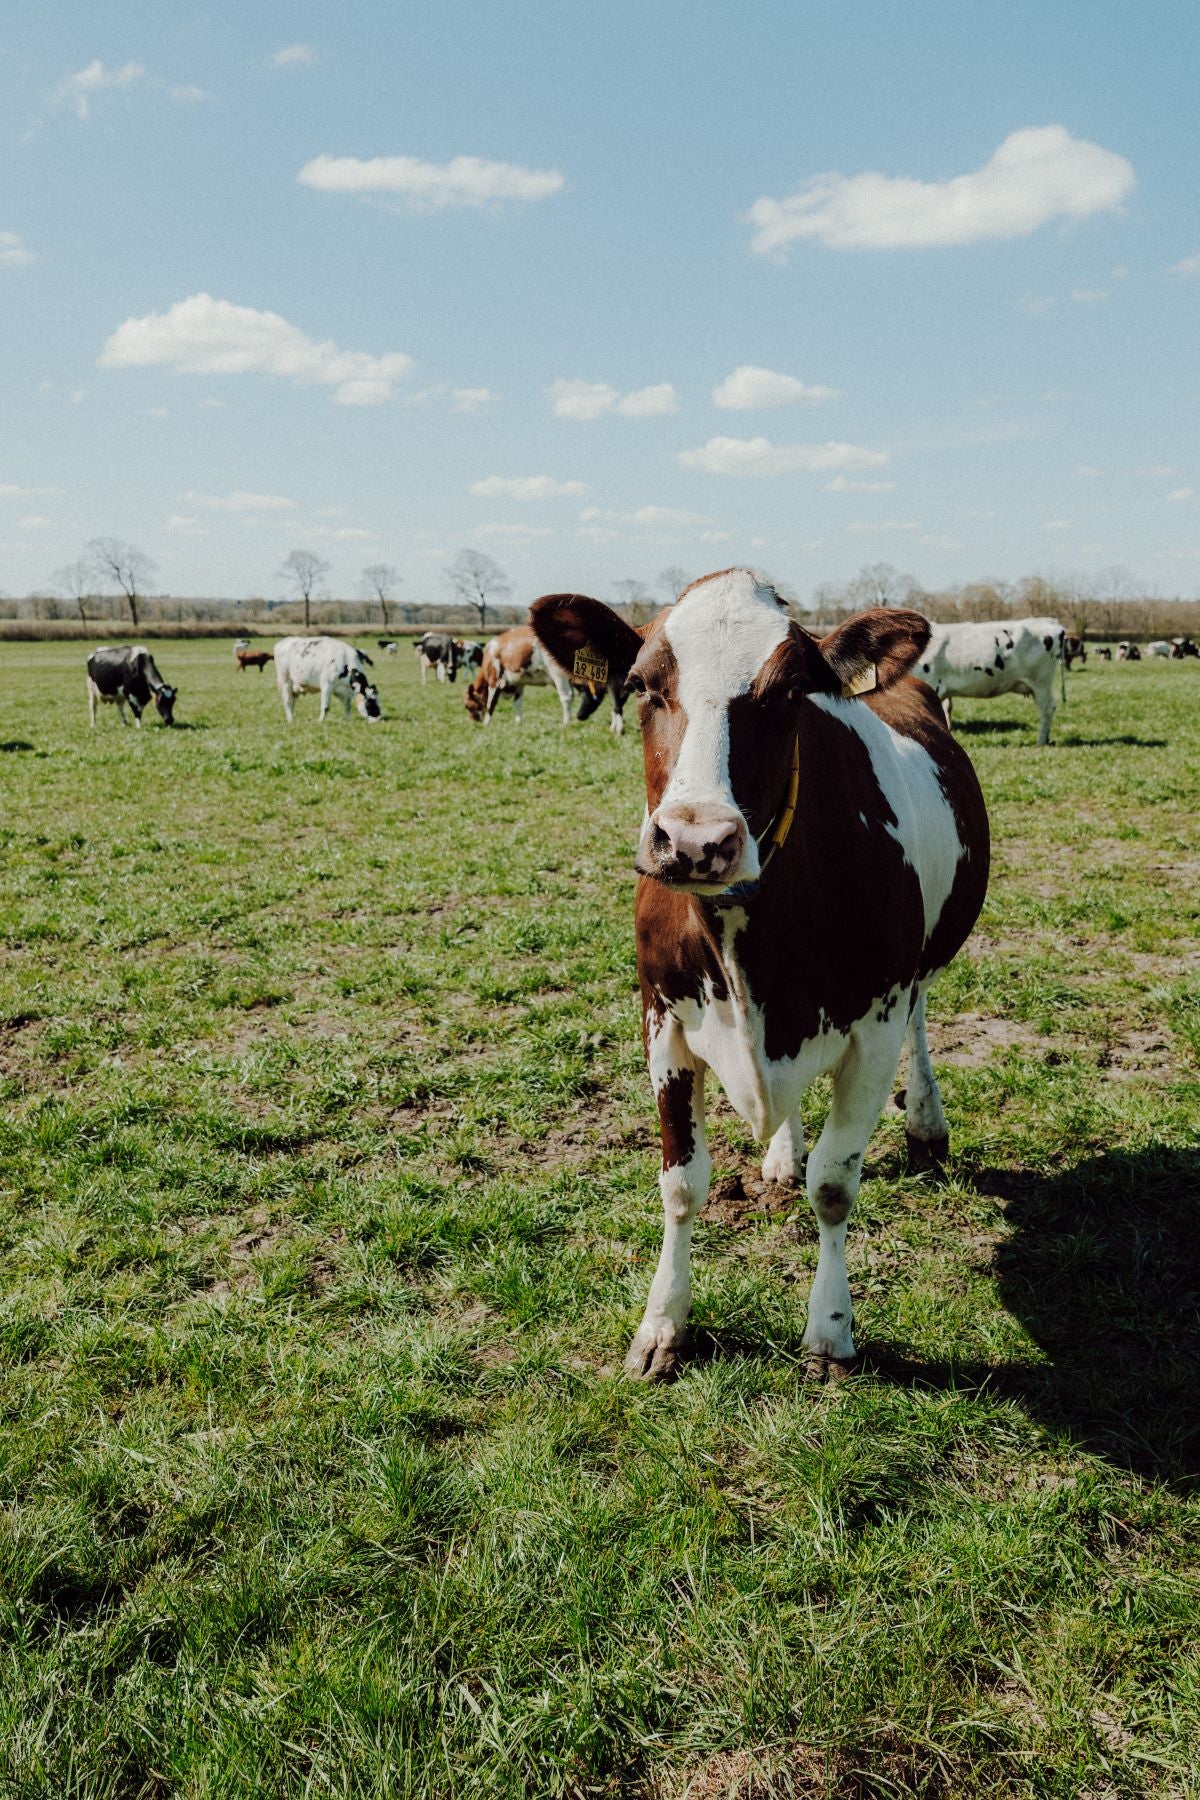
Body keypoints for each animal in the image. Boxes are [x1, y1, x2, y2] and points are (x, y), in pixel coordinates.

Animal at [464, 623, 628, 732]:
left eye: (468, 706)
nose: (472, 722)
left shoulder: (494, 679)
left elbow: (490, 703)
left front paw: (487, 723)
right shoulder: (519, 683)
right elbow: (518, 703)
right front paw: (518, 722)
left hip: (558, 673)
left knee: (566, 696)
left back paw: (566, 722)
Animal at [531, 568, 989, 1381]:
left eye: (789, 692)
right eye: (642, 684)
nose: (695, 841)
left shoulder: (873, 1028)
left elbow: (834, 1185)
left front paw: (831, 1332)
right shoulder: (662, 1021)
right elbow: (682, 1185)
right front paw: (662, 1325)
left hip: (921, 970)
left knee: (923, 1022)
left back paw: (927, 1125)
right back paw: (781, 1156)